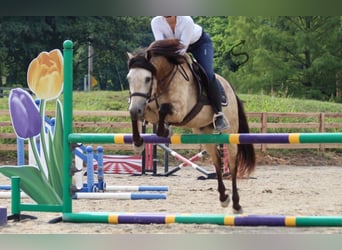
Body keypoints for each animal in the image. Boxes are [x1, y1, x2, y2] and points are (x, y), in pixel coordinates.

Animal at [127, 39, 255, 213]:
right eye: (128, 79)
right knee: (217, 161)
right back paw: (223, 198)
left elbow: (163, 110)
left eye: (147, 78)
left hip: (231, 134)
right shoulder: (147, 109)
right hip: (205, 133)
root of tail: (230, 89)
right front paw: (138, 143)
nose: (135, 108)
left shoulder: (179, 111)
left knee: (233, 165)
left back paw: (236, 204)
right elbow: (139, 116)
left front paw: (165, 130)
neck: (164, 80)